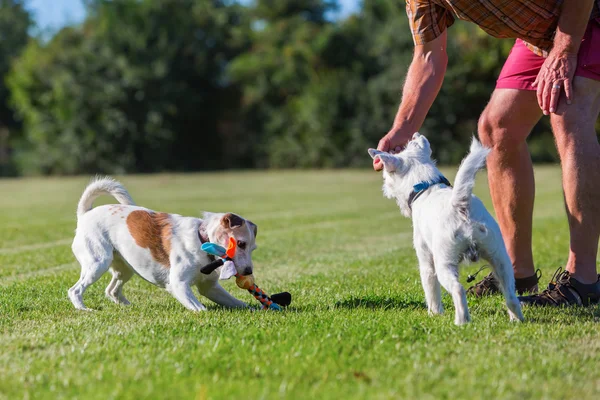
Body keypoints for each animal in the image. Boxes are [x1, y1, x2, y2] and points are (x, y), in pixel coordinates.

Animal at [67, 177, 255, 310]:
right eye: (240, 243)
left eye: (253, 248)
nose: (248, 271)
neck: (203, 240)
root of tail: (85, 214)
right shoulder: (178, 284)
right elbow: (200, 309)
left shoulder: (209, 288)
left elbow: (239, 303)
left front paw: (257, 310)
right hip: (98, 263)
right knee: (75, 290)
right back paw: (84, 309)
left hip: (125, 268)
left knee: (111, 290)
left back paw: (129, 307)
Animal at [368, 133, 524, 324]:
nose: (385, 188)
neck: (426, 186)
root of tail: (460, 205)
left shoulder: (426, 261)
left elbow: (431, 291)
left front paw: (434, 314)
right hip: (500, 259)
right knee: (510, 294)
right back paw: (517, 319)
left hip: (444, 263)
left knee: (458, 289)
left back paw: (461, 321)